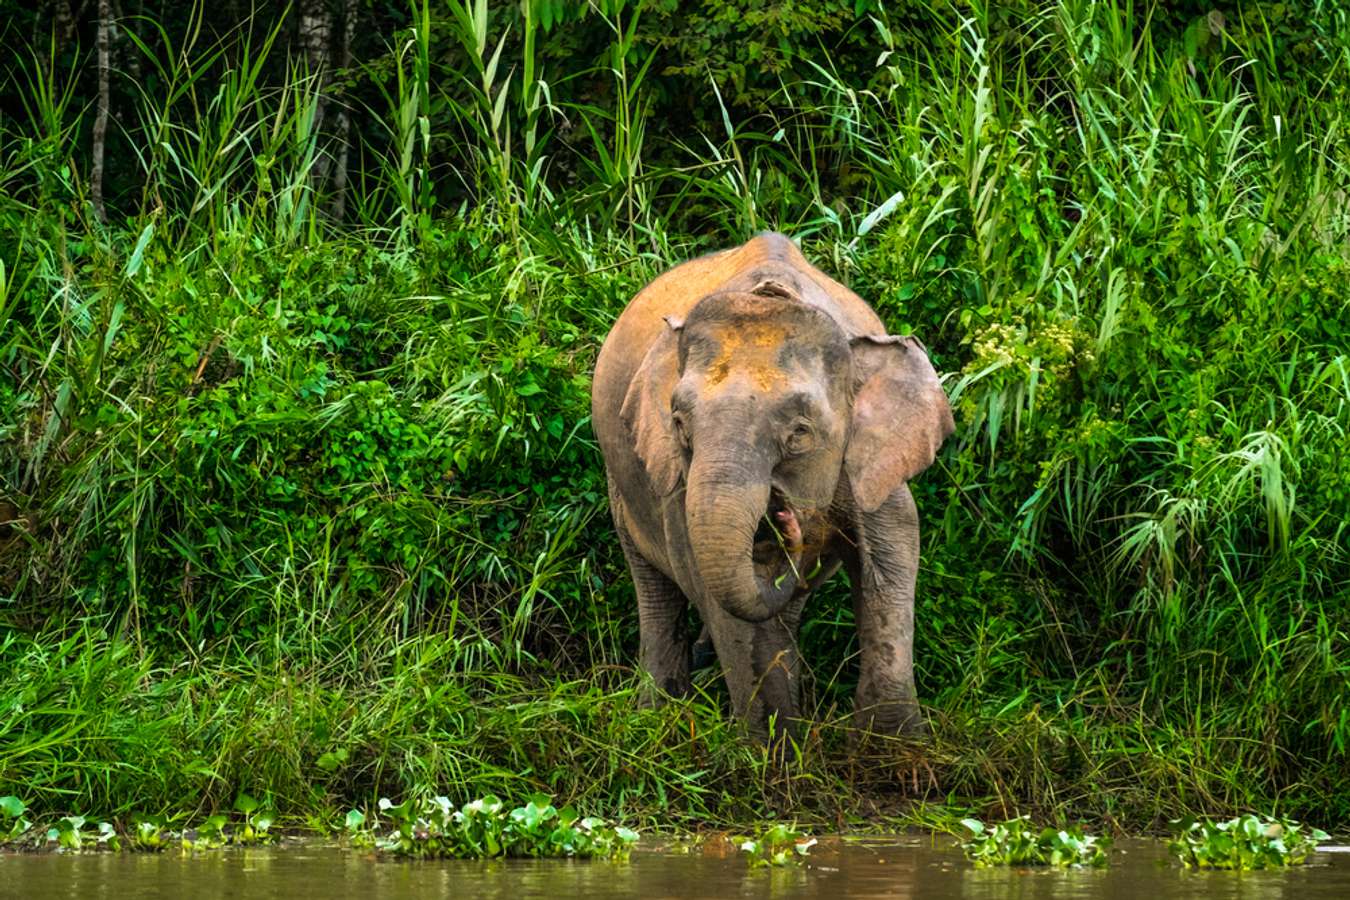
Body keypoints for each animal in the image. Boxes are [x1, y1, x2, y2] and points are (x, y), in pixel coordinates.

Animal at [588, 232, 950, 739]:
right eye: (679, 425)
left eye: (799, 433)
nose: (782, 516)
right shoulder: (678, 483)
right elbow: (715, 588)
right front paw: (773, 750)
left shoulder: (871, 459)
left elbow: (894, 549)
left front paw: (896, 746)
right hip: (620, 486)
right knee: (655, 589)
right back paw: (658, 721)